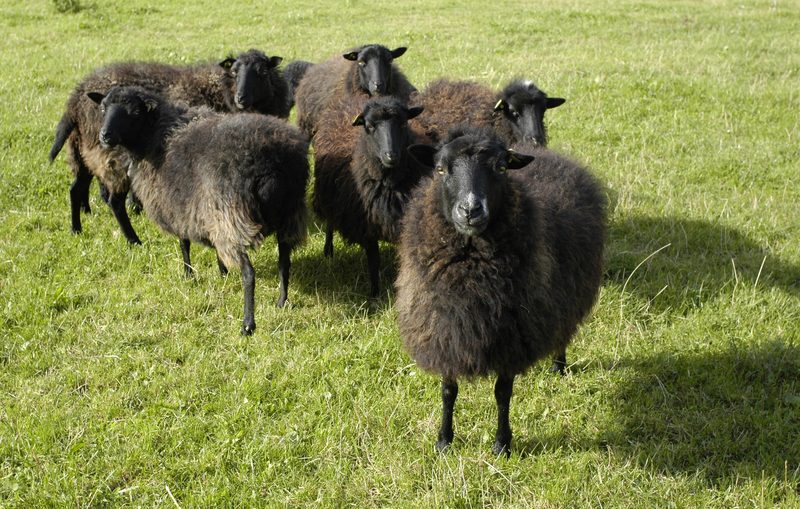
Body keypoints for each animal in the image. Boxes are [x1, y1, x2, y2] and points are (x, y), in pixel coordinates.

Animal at [49, 49, 290, 244]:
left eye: (262, 72)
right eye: (234, 72)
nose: (242, 98)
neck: (221, 91)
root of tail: (75, 100)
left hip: (83, 151)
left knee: (76, 188)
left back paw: (77, 227)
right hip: (108, 156)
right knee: (112, 200)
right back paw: (133, 240)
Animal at [87, 85, 309, 335]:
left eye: (134, 113)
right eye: (103, 108)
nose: (105, 136)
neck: (155, 135)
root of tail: (270, 167)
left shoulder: (177, 209)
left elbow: (183, 243)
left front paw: (188, 274)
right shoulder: (204, 211)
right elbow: (211, 246)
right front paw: (222, 272)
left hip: (232, 216)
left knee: (249, 273)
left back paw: (247, 324)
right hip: (289, 214)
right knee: (284, 262)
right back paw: (282, 301)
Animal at [312, 95, 424, 298]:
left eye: (404, 123)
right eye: (370, 126)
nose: (391, 155)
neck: (389, 183)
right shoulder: (367, 225)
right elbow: (374, 262)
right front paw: (374, 294)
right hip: (327, 195)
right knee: (330, 223)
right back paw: (328, 251)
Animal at [396, 126, 606, 455]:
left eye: (501, 168)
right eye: (441, 169)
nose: (470, 210)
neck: (470, 271)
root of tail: (548, 153)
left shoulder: (512, 335)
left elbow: (502, 393)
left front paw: (502, 444)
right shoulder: (444, 329)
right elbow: (448, 390)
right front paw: (444, 440)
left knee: (563, 328)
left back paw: (558, 366)